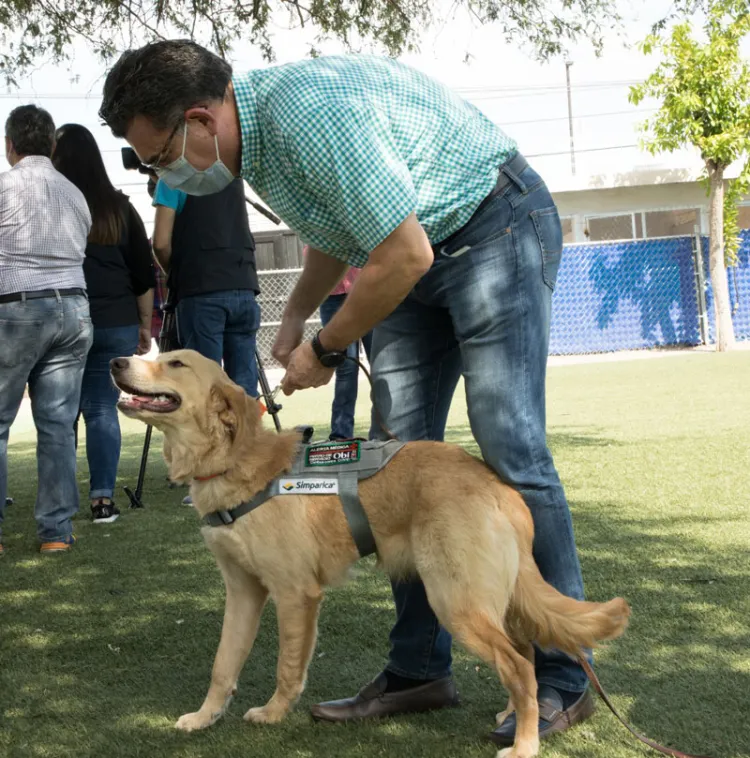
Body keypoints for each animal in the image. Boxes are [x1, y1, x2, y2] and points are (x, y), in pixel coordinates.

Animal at [110, 350, 628, 758]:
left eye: (175, 363)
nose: (114, 361)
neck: (233, 464)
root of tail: (500, 487)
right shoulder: (242, 593)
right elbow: (223, 665)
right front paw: (204, 717)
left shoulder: (296, 594)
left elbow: (286, 667)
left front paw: (274, 713)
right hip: (479, 598)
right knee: (523, 653)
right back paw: (513, 715)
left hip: (455, 600)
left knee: (520, 665)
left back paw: (524, 744)